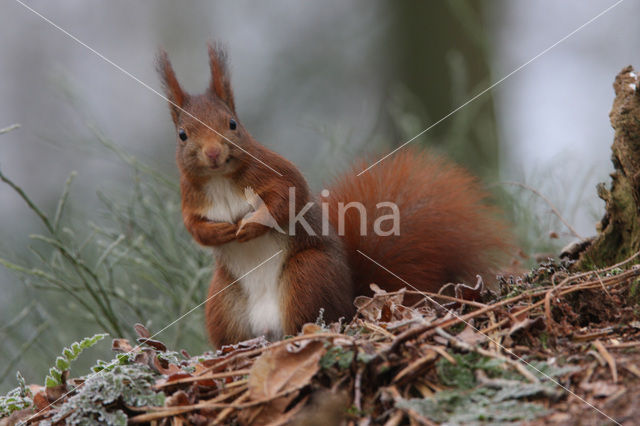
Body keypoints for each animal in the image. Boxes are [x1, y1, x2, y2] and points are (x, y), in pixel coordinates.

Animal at [159, 45, 510, 348]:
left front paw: (252, 224)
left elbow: (286, 200)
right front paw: (221, 231)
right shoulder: (191, 200)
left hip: (307, 274)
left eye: (232, 124)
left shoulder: (275, 172)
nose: (213, 153)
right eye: (182, 135)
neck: (220, 179)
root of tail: (349, 304)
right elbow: (195, 228)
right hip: (223, 300)